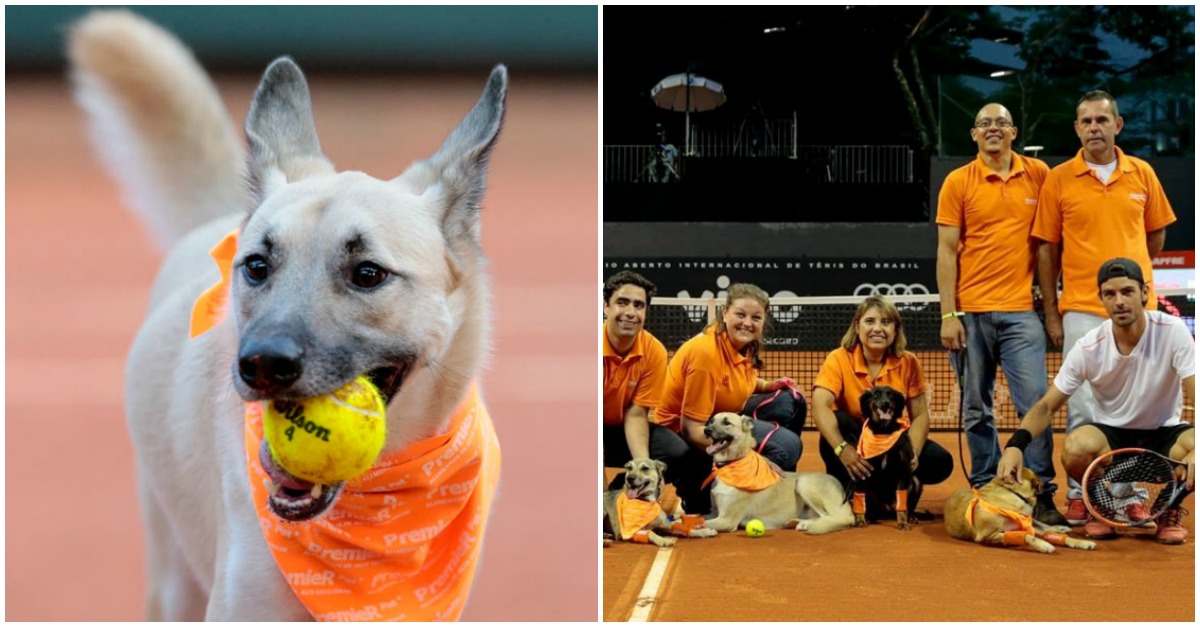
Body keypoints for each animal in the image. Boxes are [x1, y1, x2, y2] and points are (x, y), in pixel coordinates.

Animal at [700, 410, 854, 530]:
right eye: (711, 421)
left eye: (727, 423)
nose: (706, 430)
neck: (731, 464)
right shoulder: (714, 513)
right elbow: (698, 517)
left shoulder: (727, 520)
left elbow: (701, 524)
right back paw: (797, 522)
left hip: (803, 483)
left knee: (832, 517)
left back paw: (808, 525)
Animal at [945, 463, 1099, 552]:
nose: (1044, 482)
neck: (1013, 494)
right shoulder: (990, 535)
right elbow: (1027, 537)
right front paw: (1045, 545)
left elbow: (1050, 534)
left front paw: (1080, 542)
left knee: (1045, 526)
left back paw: (1061, 528)